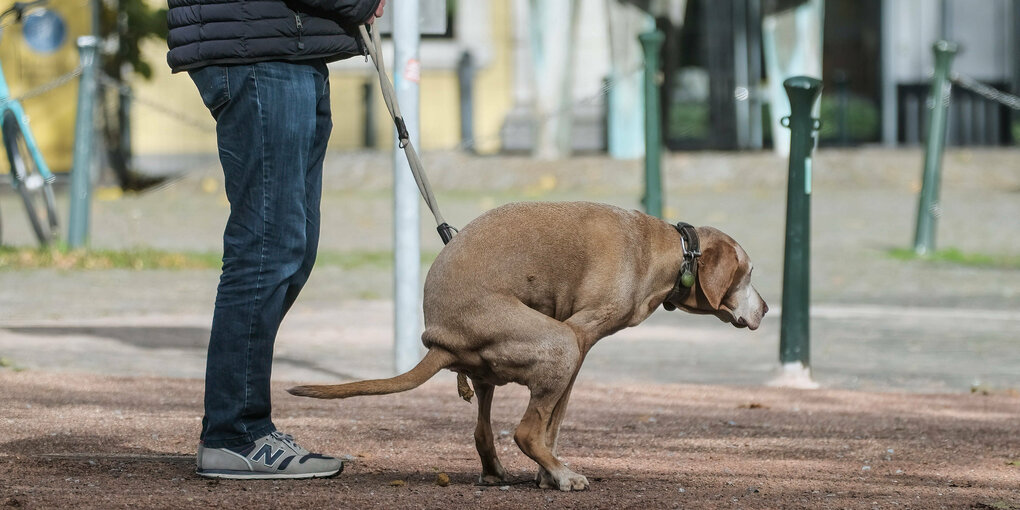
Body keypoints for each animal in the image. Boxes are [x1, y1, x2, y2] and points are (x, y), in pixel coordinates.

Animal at [287, 199, 767, 489]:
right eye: (749, 273)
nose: (765, 309)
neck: (667, 252)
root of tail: (440, 336)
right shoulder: (580, 336)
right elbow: (554, 421)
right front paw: (551, 474)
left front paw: (545, 474)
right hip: (557, 344)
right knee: (524, 431)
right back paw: (561, 474)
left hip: (488, 373)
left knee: (483, 431)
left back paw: (496, 472)